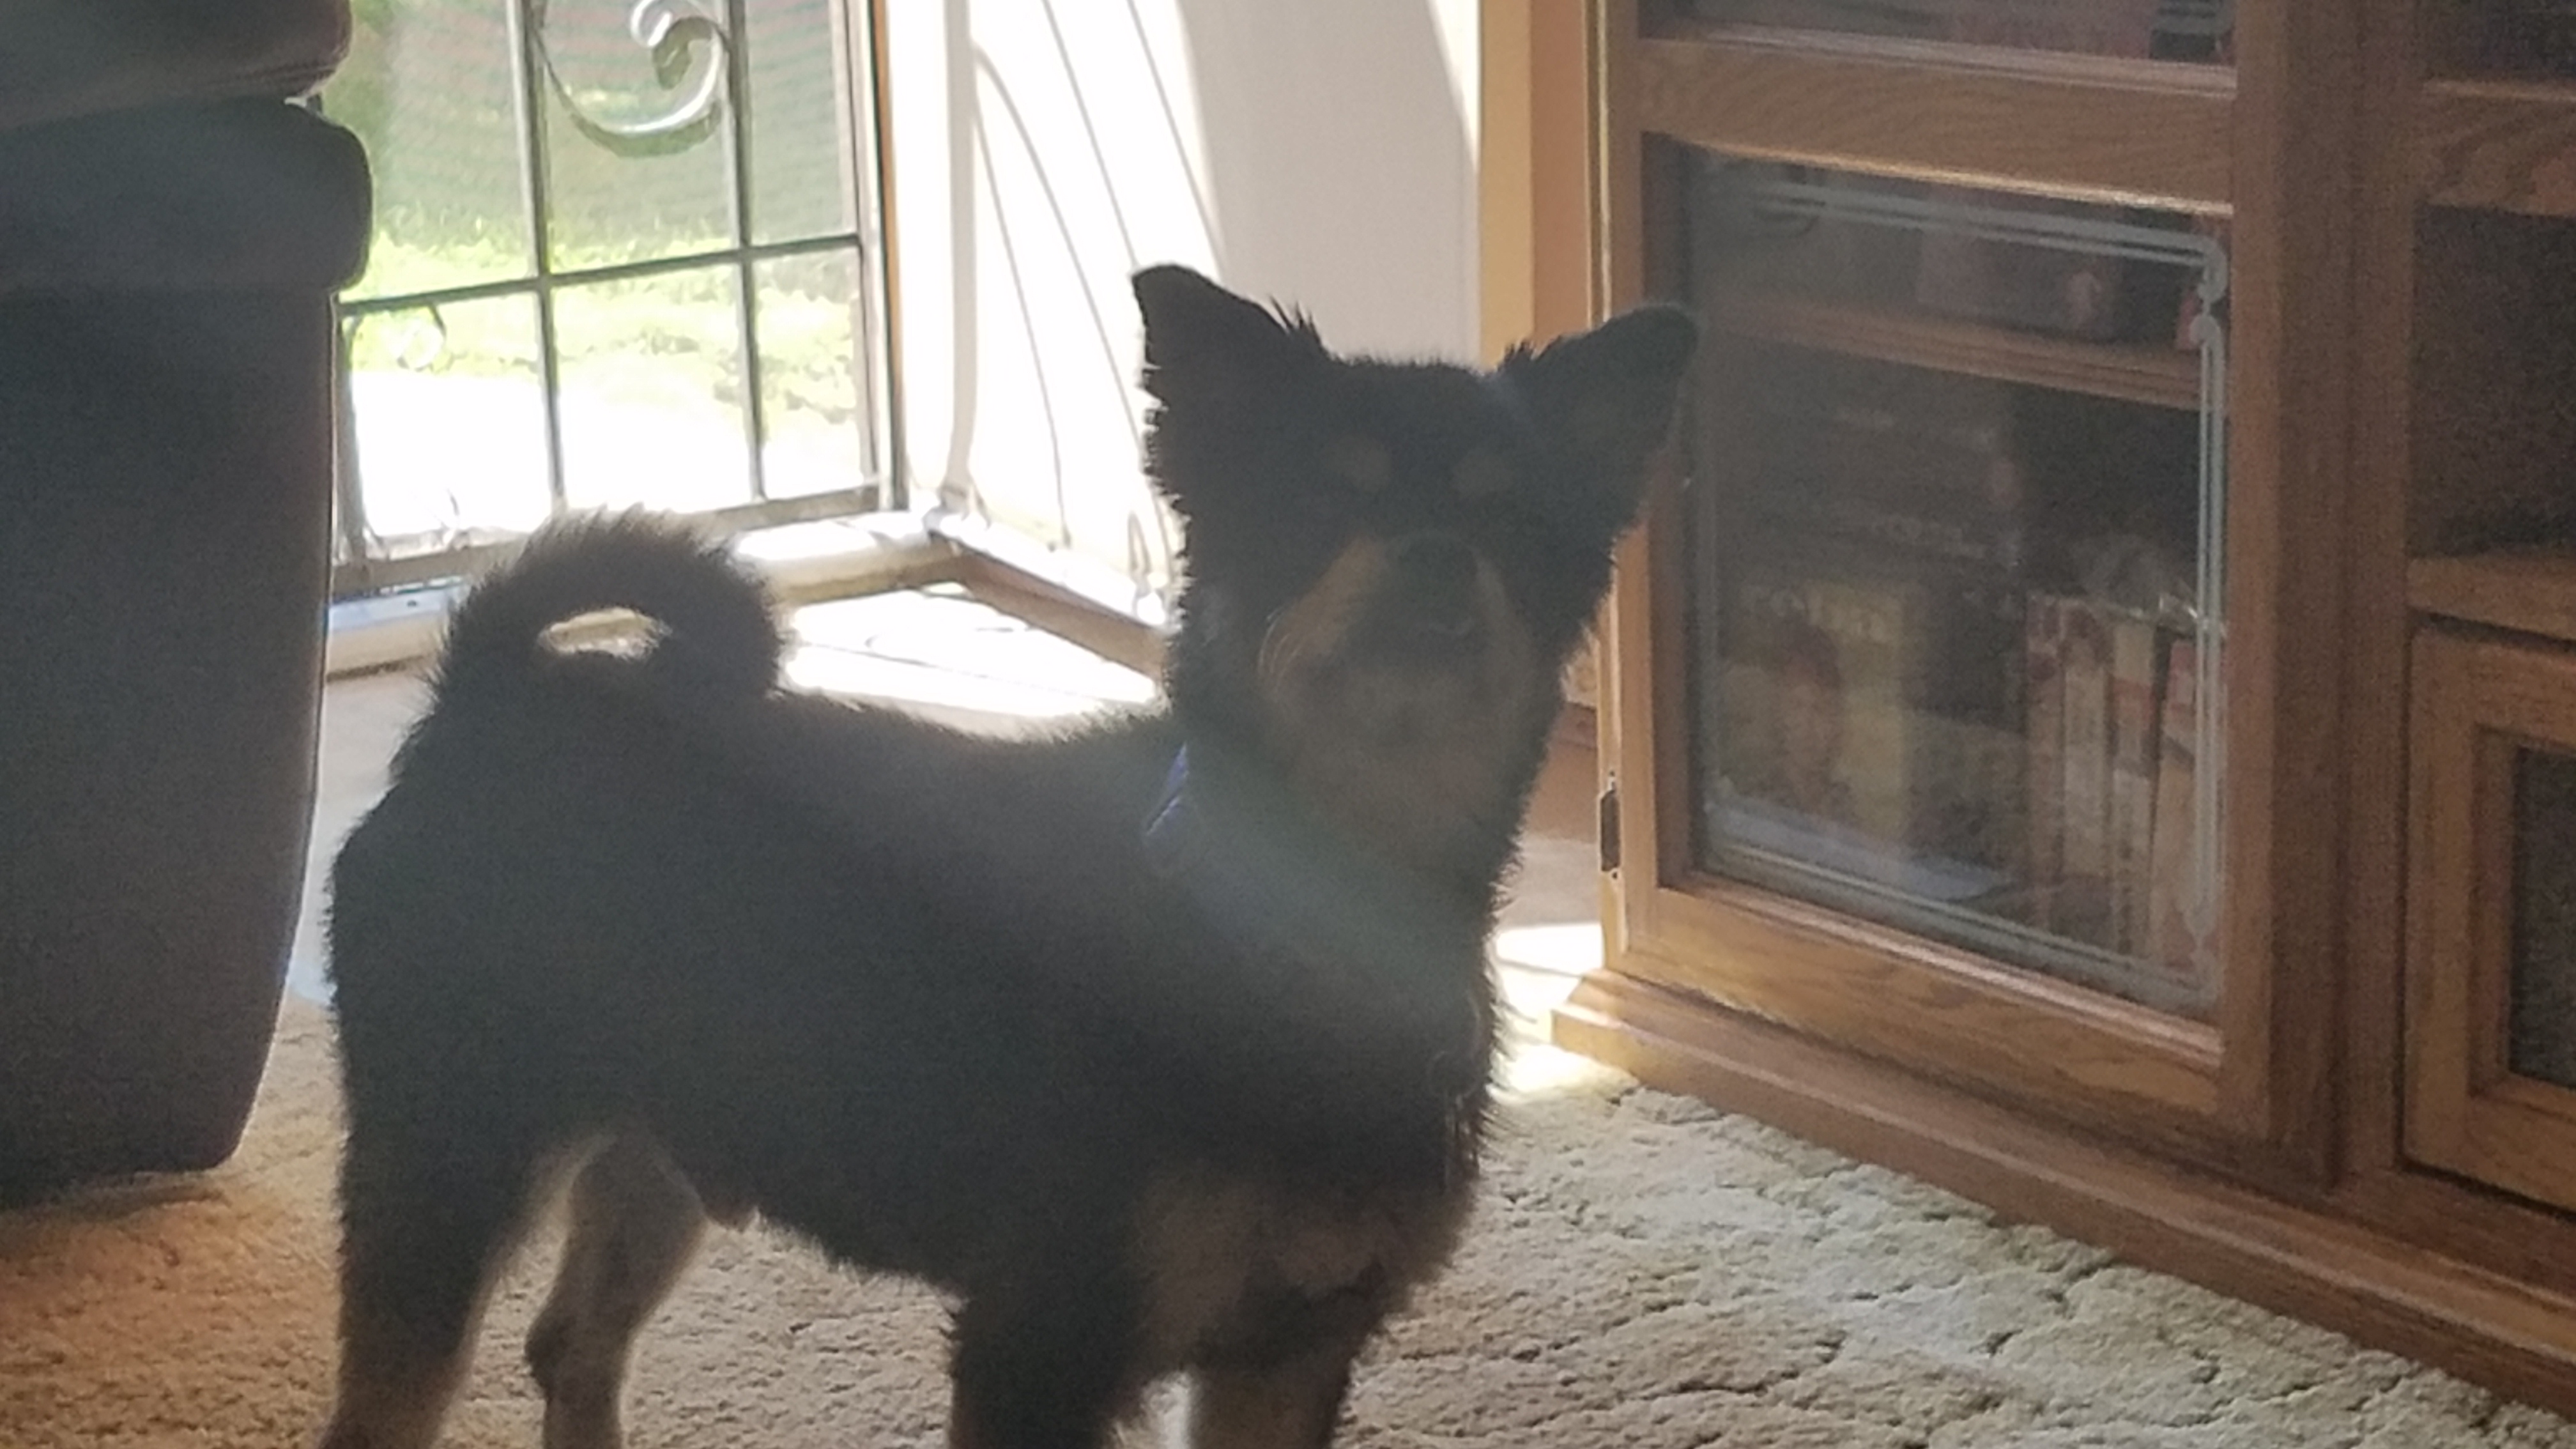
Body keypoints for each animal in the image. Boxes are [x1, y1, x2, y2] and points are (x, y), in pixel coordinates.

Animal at [316, 264, 1696, 1449]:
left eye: (1507, 513)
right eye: (1323, 501)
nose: (1434, 556)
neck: (1310, 905)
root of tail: (489, 700)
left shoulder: (1288, 1348)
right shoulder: (1040, 1342)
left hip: (654, 1145)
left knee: (573, 1347)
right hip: (449, 1155)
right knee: (390, 1406)